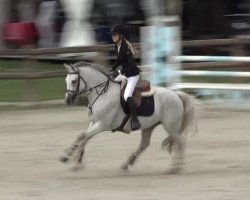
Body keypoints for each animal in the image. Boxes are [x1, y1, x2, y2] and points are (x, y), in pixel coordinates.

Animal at [60, 61, 197, 171]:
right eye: (66, 80)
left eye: (74, 81)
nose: (67, 100)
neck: (103, 94)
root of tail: (176, 94)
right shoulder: (94, 122)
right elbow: (84, 137)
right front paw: (75, 160)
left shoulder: (102, 124)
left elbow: (83, 136)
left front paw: (69, 157)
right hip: (150, 126)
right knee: (144, 144)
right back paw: (127, 163)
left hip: (170, 126)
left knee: (180, 142)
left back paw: (176, 167)